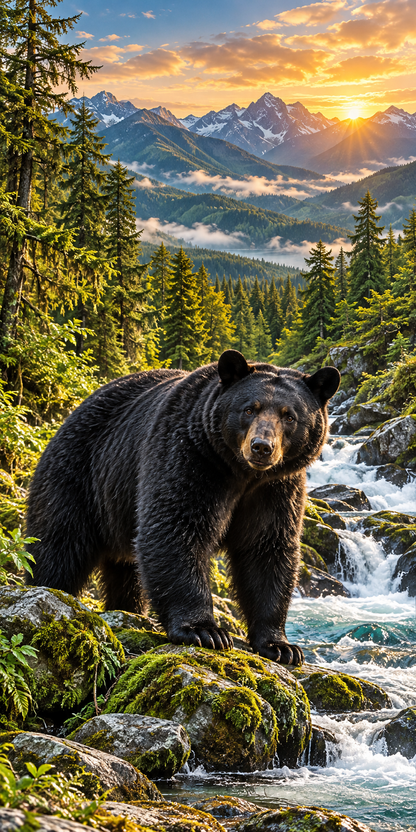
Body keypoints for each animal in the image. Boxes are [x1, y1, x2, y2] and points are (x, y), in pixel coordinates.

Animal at [26, 350, 340, 665]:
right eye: (250, 408)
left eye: (289, 416)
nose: (261, 446)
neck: (241, 473)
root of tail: (73, 412)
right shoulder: (189, 456)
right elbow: (175, 527)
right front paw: (204, 630)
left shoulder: (275, 489)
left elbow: (267, 547)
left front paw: (281, 646)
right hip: (79, 476)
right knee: (58, 546)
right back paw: (45, 588)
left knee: (126, 572)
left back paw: (128, 608)